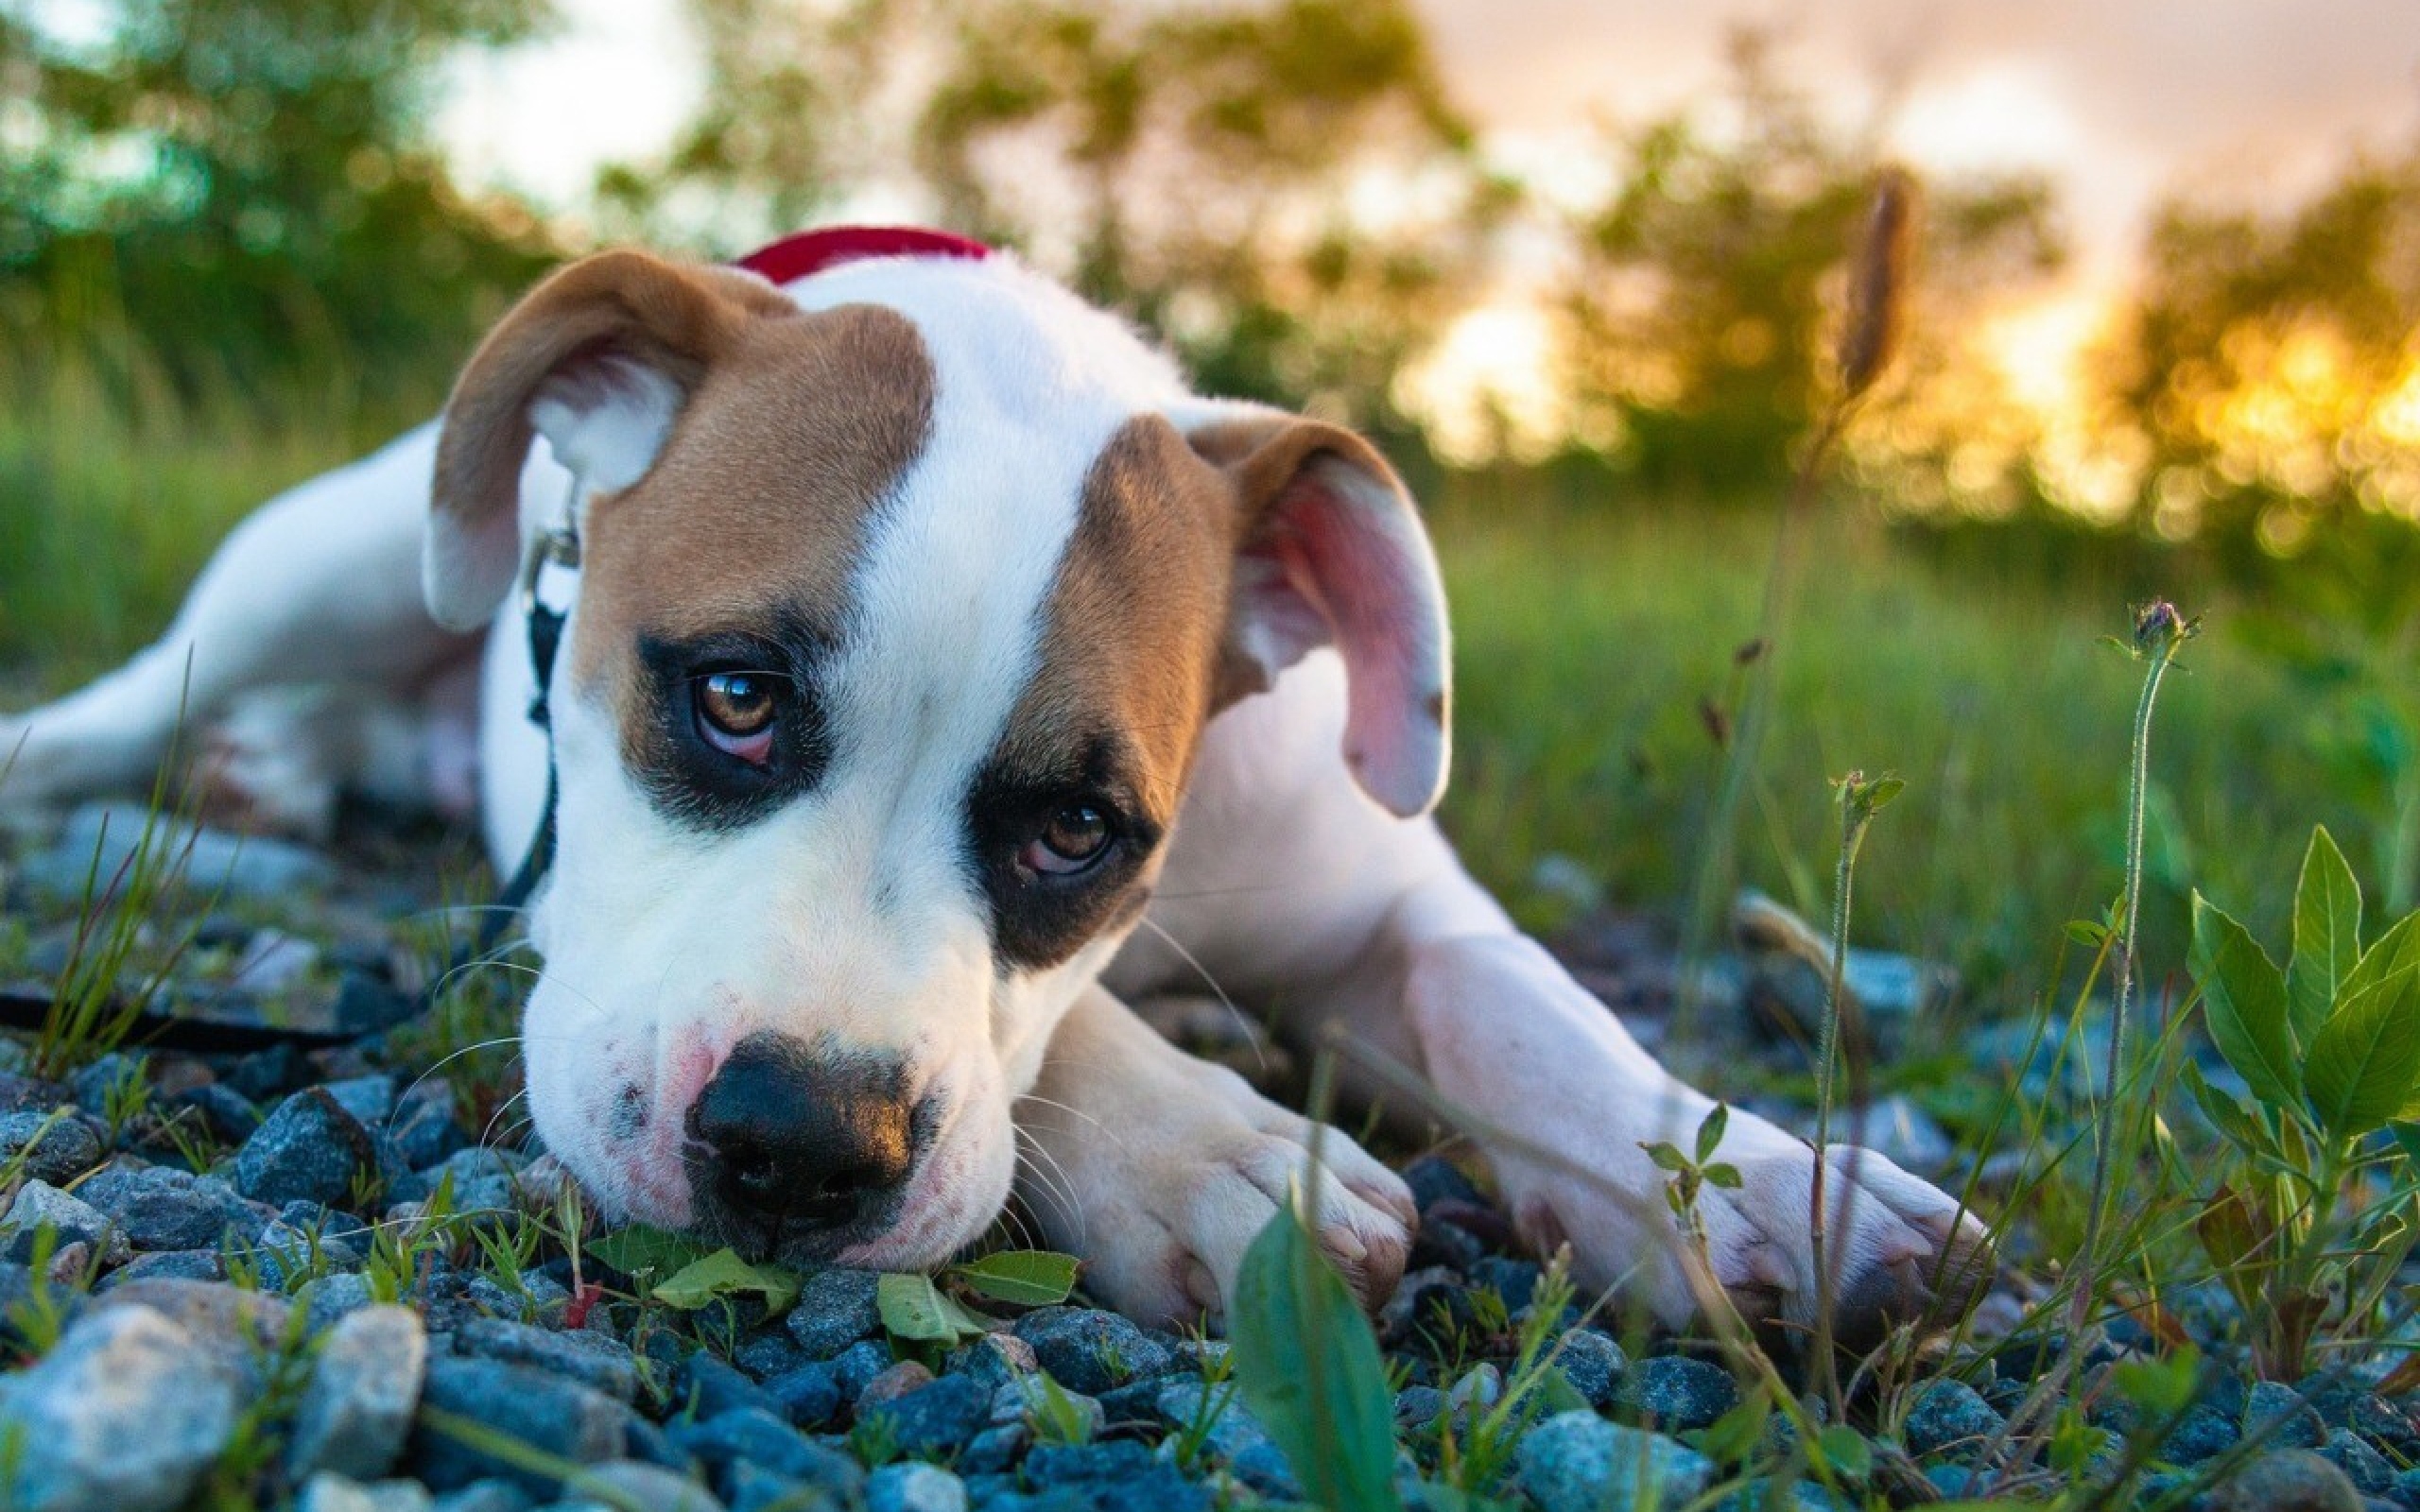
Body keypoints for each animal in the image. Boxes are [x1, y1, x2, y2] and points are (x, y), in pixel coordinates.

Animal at [0, 227, 1984, 1335]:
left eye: (1078, 830)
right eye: (732, 698)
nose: (802, 1155)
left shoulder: (1384, 892)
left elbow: (1521, 1001)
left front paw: (1760, 1182)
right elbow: (1073, 1030)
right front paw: (1222, 1153)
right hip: (326, 561)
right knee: (144, 698)